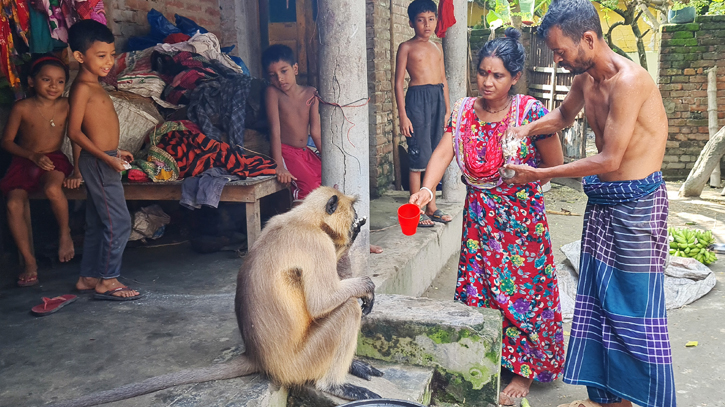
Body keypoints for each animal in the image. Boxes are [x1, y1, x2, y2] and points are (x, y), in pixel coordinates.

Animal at [43, 188, 384, 407]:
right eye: (352, 209)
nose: (357, 216)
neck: (305, 219)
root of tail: (259, 357)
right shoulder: (314, 242)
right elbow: (322, 301)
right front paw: (365, 283)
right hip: (299, 363)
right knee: (347, 310)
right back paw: (334, 383)